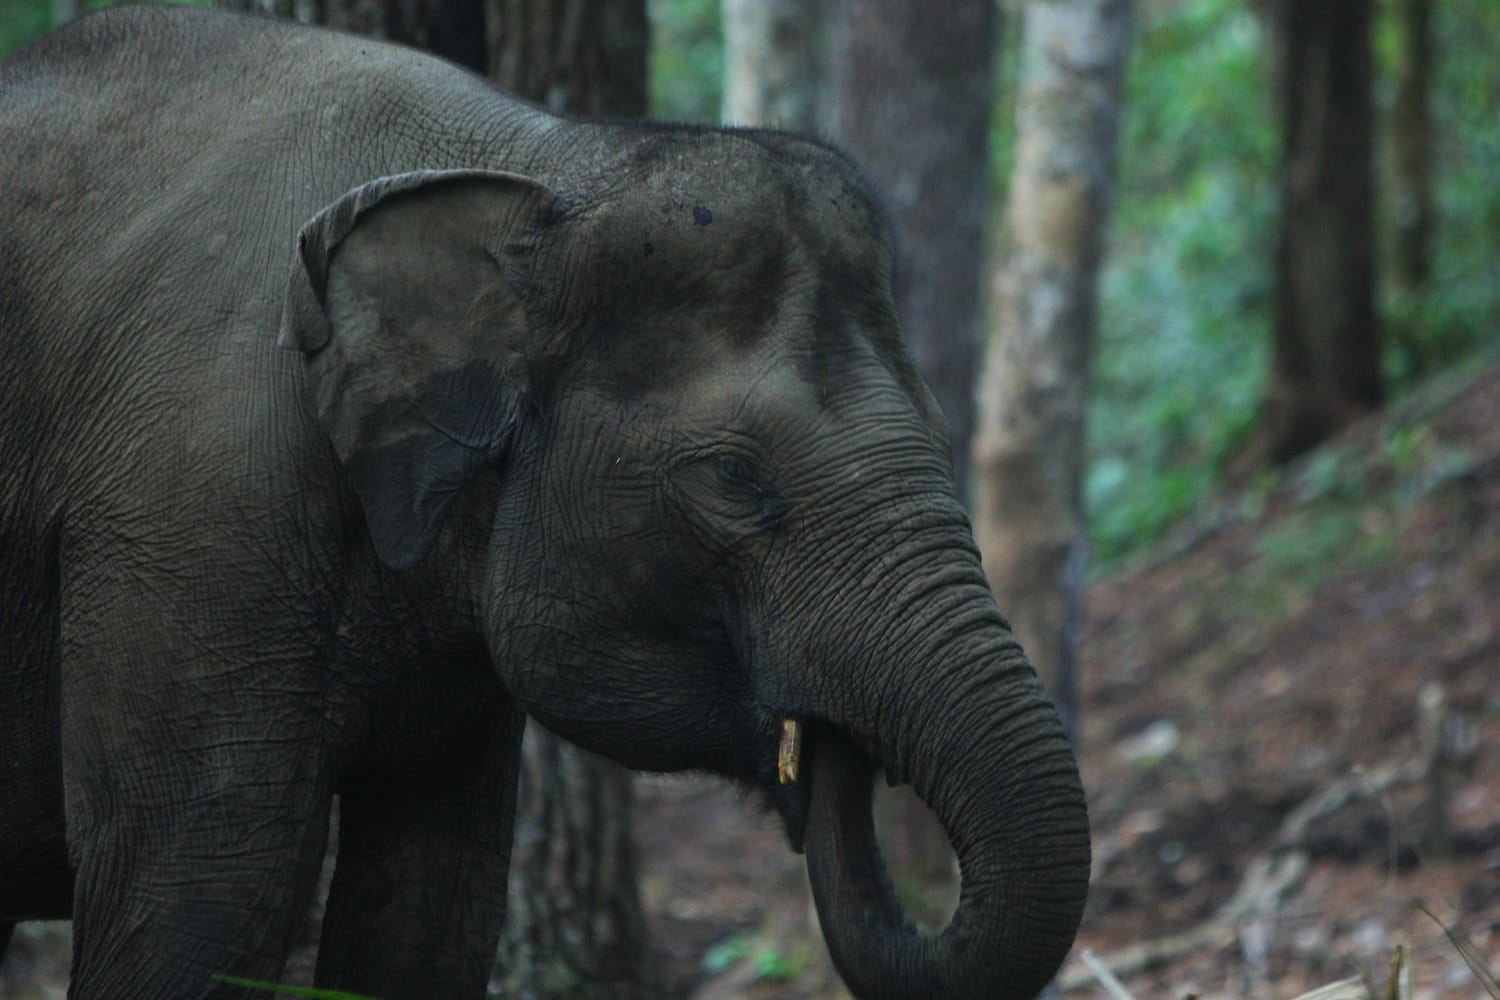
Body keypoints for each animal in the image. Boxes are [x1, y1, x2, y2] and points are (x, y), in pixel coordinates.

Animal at [0, 7, 1086, 1000]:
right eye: (735, 478)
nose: (824, 750)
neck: (536, 169)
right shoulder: (193, 518)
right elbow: (199, 904)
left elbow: (431, 907)